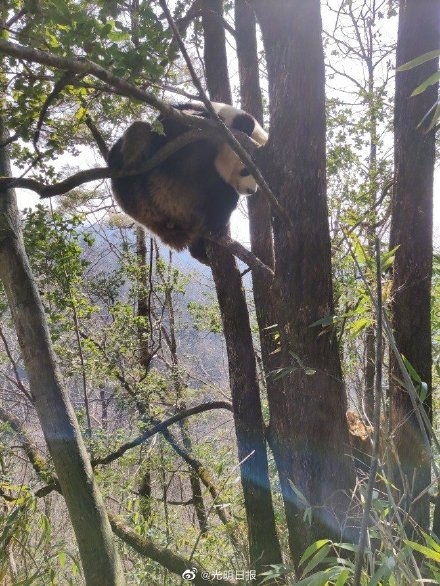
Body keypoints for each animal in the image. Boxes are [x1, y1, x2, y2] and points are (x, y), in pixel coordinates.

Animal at [108, 102, 268, 262]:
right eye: (247, 170)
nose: (251, 191)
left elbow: (223, 198)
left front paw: (215, 228)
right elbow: (167, 125)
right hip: (139, 195)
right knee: (139, 131)